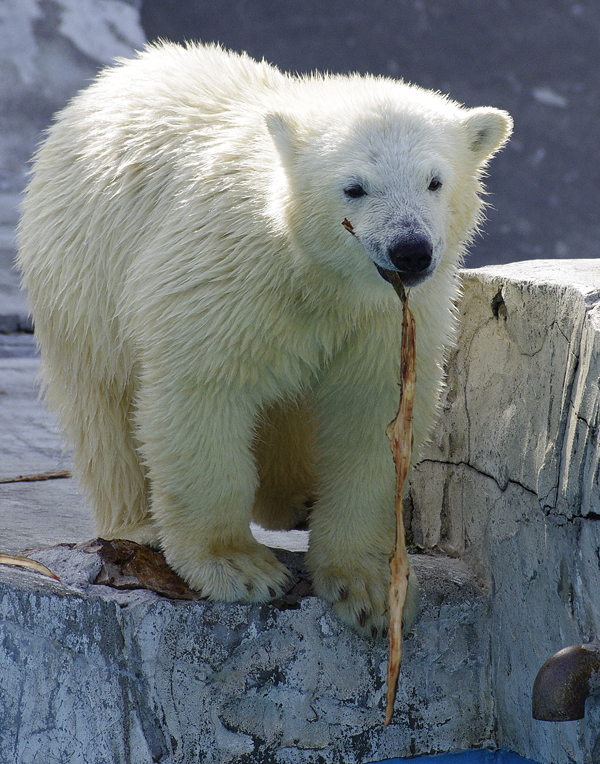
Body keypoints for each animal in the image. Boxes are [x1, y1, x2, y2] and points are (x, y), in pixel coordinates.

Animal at [18, 43, 510, 640]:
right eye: (354, 186)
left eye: (435, 181)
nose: (410, 250)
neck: (314, 272)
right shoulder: (225, 278)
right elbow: (202, 394)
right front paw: (239, 568)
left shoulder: (383, 321)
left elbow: (372, 421)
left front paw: (370, 588)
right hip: (82, 280)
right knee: (105, 409)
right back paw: (138, 524)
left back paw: (295, 498)